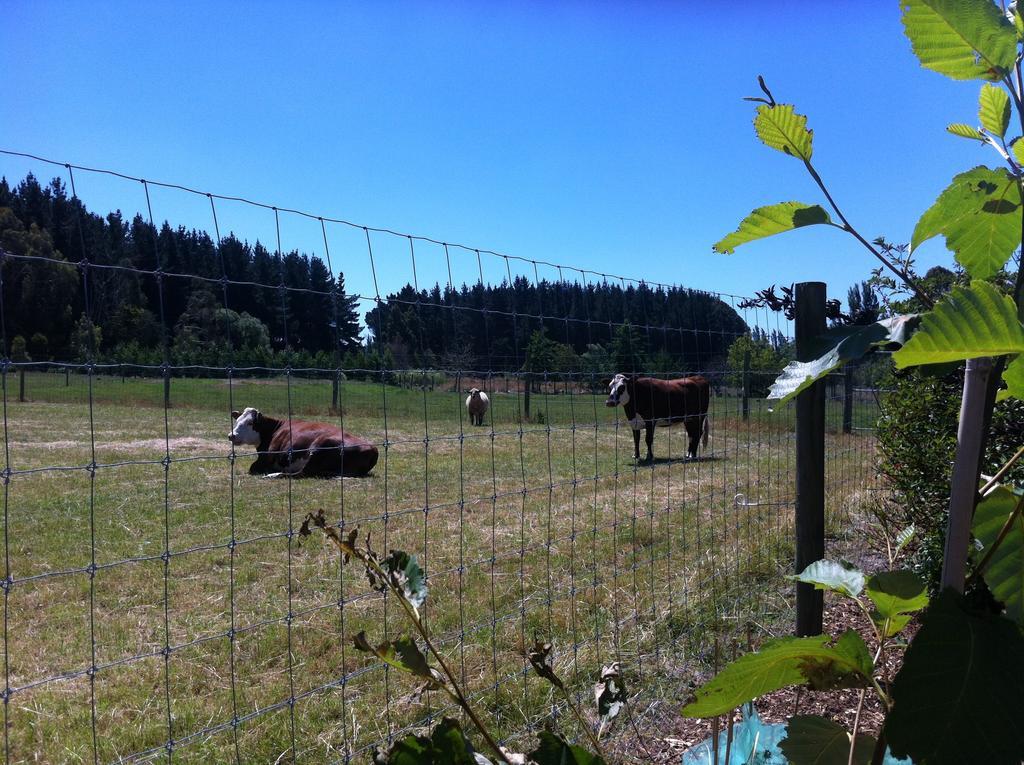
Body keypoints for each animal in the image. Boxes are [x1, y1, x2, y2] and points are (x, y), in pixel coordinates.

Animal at [228, 407, 380, 479]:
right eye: (237, 420)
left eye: (250, 423)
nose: (231, 435)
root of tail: (372, 448)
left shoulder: (267, 456)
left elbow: (253, 467)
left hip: (318, 447)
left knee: (302, 473)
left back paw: (274, 475)